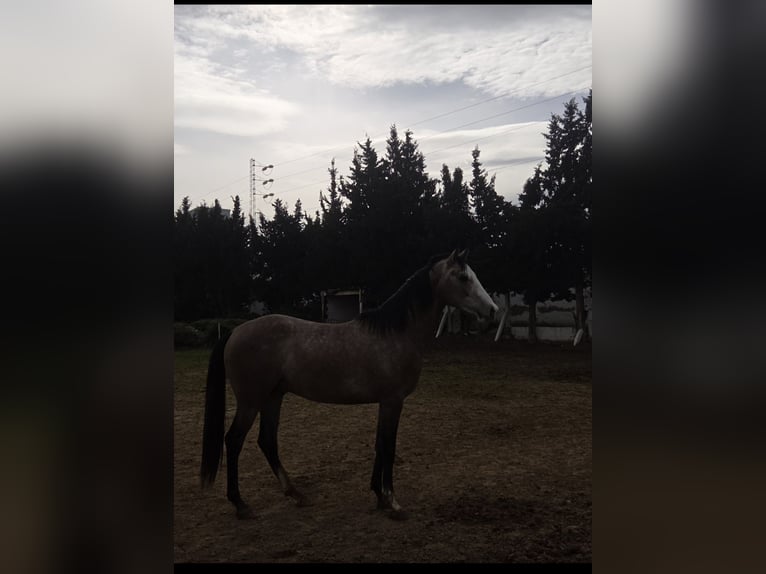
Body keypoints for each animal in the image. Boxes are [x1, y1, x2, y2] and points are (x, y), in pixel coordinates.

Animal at [199, 249, 499, 519]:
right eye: (463, 277)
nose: (493, 312)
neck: (396, 333)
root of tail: (235, 331)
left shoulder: (385, 402)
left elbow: (379, 444)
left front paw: (379, 496)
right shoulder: (393, 401)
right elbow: (388, 446)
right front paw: (392, 501)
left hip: (273, 396)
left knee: (267, 441)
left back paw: (296, 494)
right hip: (251, 401)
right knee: (234, 441)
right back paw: (240, 504)